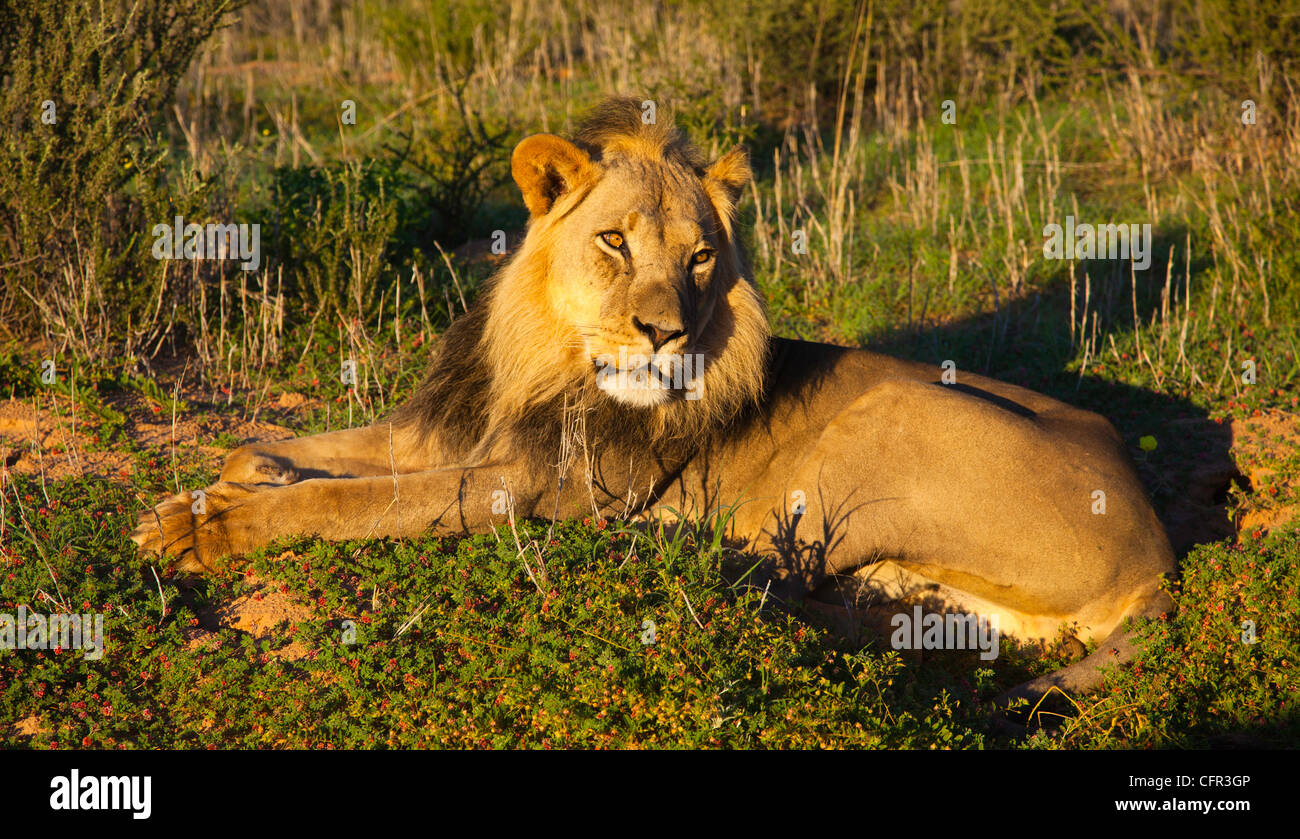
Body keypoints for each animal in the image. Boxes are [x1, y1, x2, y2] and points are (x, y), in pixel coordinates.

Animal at [134, 97, 1175, 705]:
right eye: (614, 242)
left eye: (702, 257)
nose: (665, 333)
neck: (545, 360)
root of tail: (1159, 542)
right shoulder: (448, 429)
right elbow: (303, 448)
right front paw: (228, 483)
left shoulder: (533, 488)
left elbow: (353, 499)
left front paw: (207, 526)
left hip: (888, 418)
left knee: (771, 578)